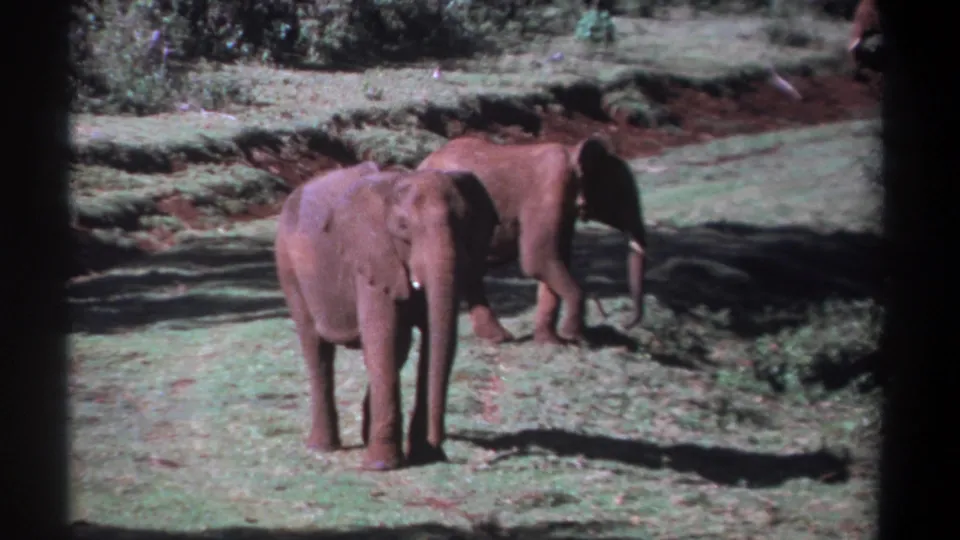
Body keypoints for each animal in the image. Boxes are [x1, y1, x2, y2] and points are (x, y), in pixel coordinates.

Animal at [274, 162, 499, 471]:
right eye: (403, 228)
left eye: (465, 223)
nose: (440, 443)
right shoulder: (372, 257)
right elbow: (384, 338)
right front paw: (382, 466)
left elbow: (421, 340)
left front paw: (424, 455)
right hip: (289, 268)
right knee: (316, 348)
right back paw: (322, 447)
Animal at [416, 135, 647, 346]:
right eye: (621, 194)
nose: (625, 324)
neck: (572, 153)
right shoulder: (549, 190)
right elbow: (539, 259)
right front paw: (575, 337)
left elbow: (555, 261)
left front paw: (551, 342)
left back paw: (497, 338)